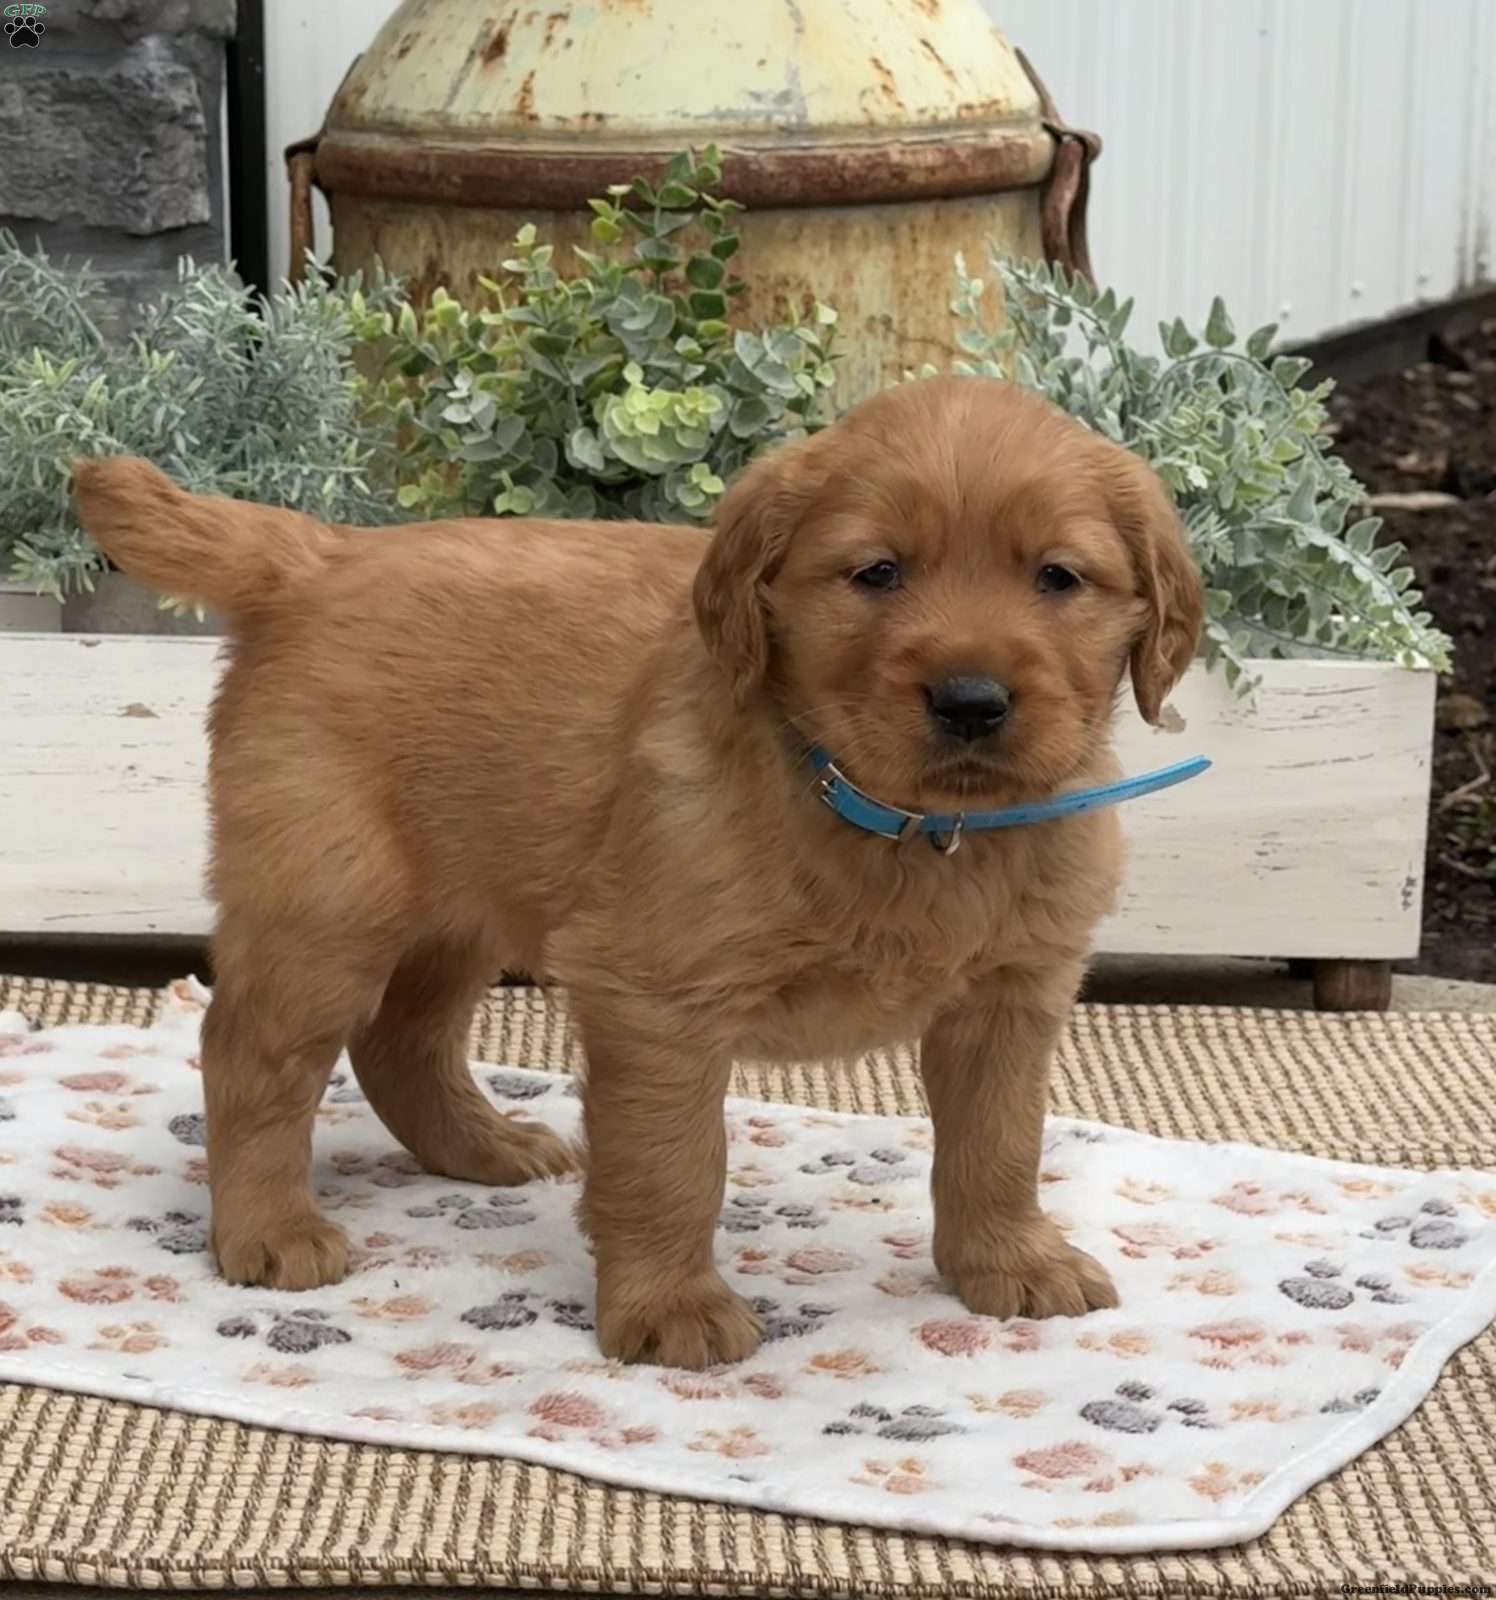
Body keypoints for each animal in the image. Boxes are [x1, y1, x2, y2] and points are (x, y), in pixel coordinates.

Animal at [72, 375, 1203, 1370]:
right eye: (877, 572)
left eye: (1057, 577)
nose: (970, 700)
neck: (910, 825)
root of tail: (315, 550)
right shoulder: (657, 997)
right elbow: (671, 1163)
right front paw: (670, 1308)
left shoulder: (1012, 996)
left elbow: (1001, 1142)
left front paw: (1006, 1260)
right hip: (328, 903)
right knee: (250, 1055)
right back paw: (266, 1229)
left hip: (461, 905)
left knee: (401, 1040)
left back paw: (482, 1148)